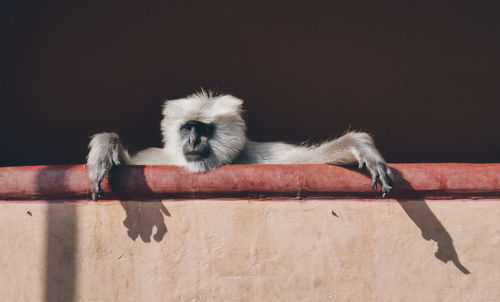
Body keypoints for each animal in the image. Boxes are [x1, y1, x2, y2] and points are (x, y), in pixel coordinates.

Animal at [87, 92, 394, 201]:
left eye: (204, 129)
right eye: (188, 128)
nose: (193, 140)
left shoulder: (259, 155)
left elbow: (310, 161)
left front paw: (359, 145)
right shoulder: (160, 159)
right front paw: (105, 148)